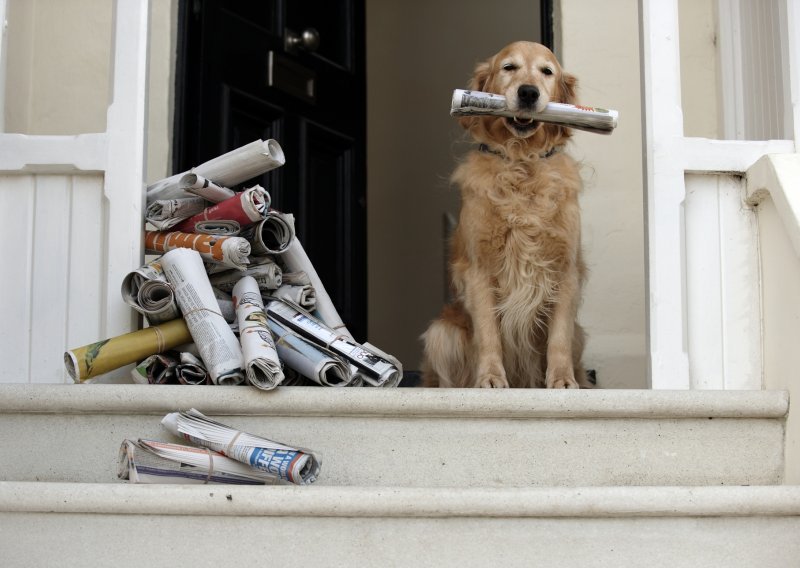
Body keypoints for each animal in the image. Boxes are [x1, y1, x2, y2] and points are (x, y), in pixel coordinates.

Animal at [422, 37, 592, 388]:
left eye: (546, 71)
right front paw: (489, 377)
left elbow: (558, 337)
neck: (522, 161)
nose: (528, 92)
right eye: (509, 67)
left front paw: (562, 380)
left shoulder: (565, 267)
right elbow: (489, 333)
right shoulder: (479, 269)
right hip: (441, 333)